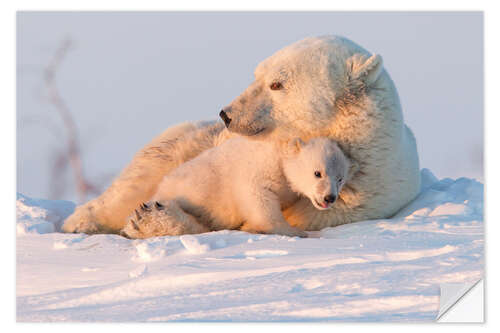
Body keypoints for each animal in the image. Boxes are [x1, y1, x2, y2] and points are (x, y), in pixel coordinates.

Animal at [120, 136, 352, 239]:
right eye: (317, 173)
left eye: (340, 178)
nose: (329, 197)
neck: (280, 150)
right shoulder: (261, 167)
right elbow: (257, 195)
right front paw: (292, 231)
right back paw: (148, 217)